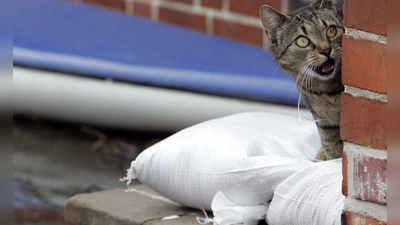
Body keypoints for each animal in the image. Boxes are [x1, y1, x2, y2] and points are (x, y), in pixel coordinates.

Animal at [260, 0, 344, 160]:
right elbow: (332, 146)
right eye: (302, 41)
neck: (327, 91)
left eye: (331, 31)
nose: (326, 50)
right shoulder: (324, 120)